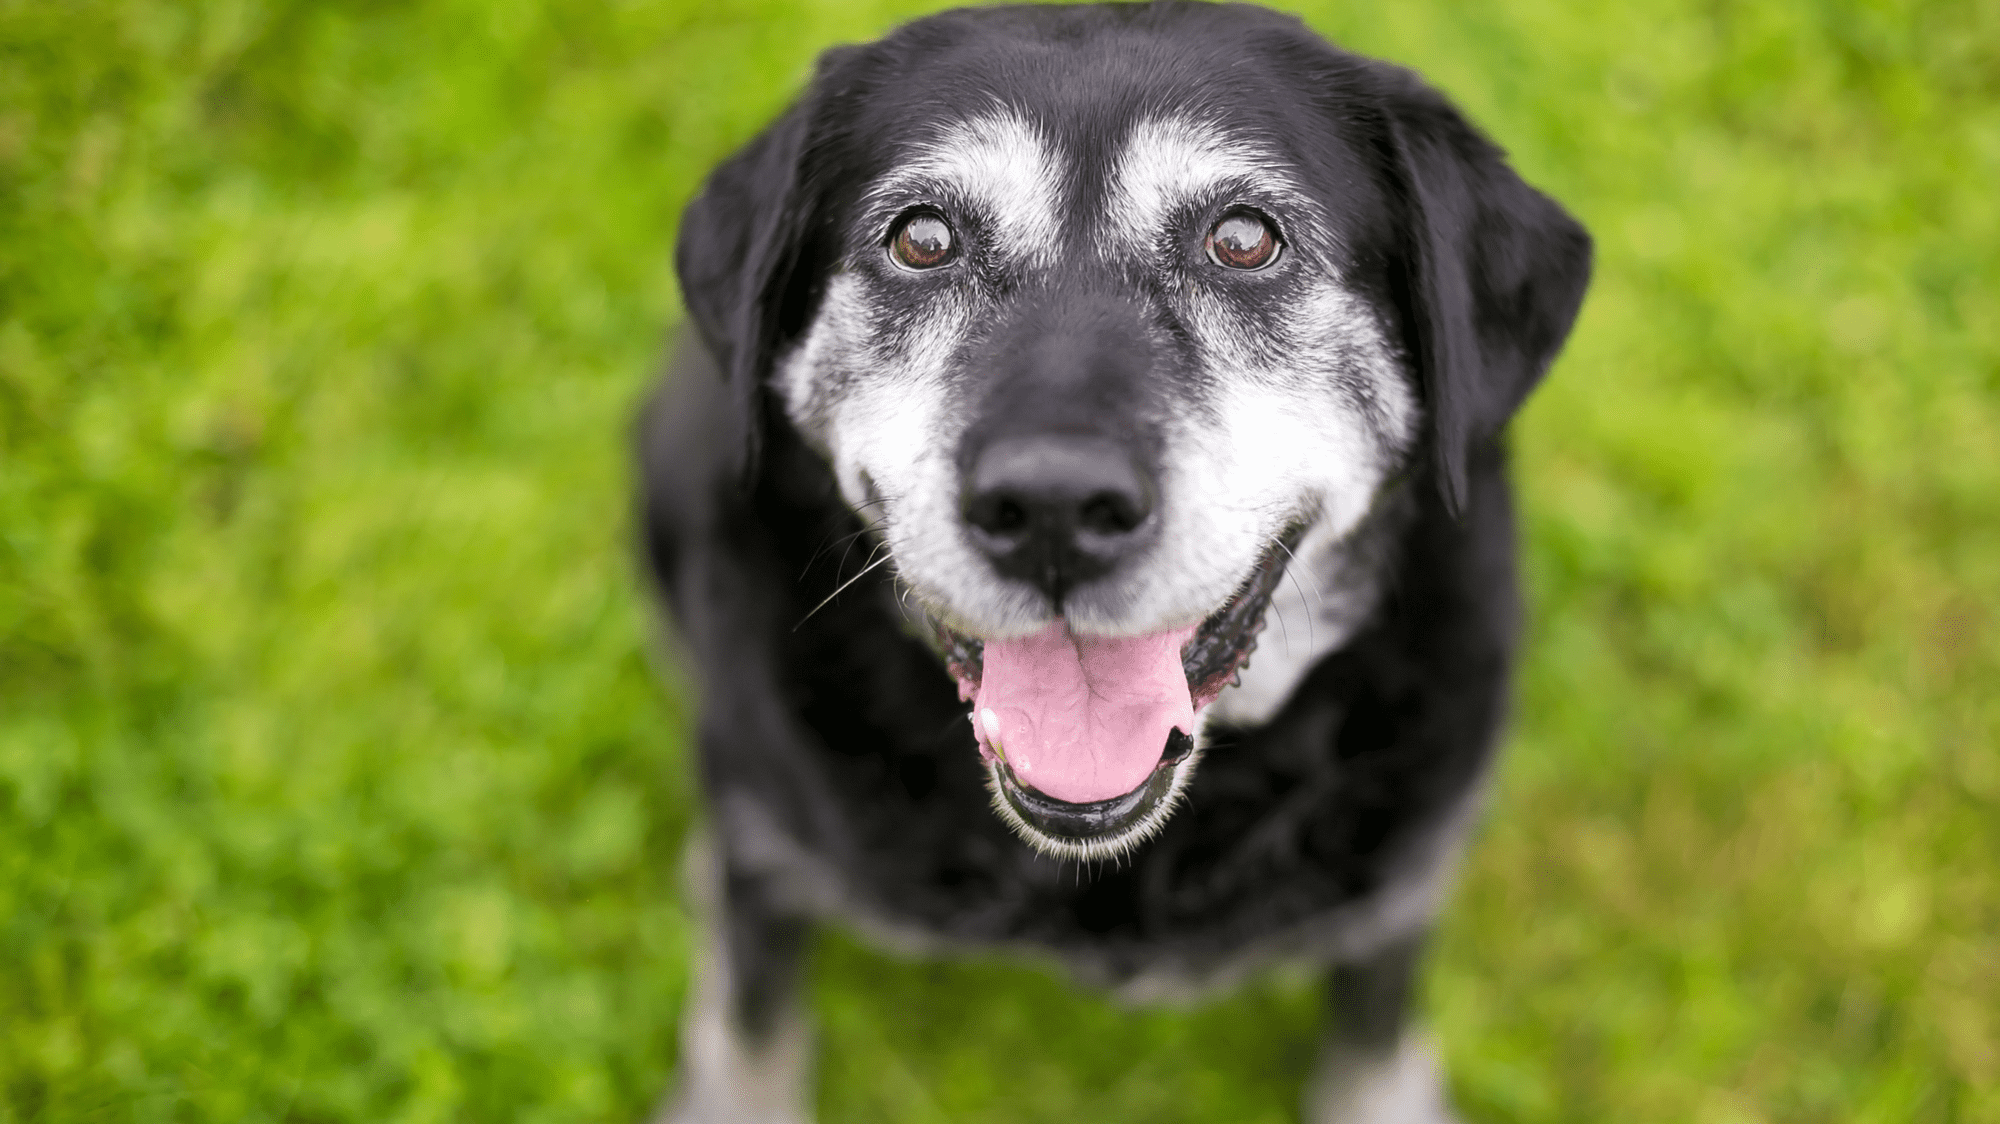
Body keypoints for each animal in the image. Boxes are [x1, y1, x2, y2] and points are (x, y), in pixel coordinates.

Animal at [640, 4, 1592, 1112]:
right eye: (921, 236)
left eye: (1243, 238)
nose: (1054, 508)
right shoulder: (767, 855)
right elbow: (753, 1019)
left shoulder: (1399, 884)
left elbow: (1373, 1026)